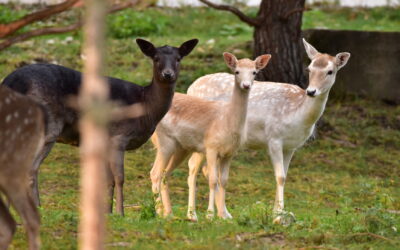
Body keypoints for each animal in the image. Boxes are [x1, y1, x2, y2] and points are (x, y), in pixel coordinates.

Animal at [1, 38, 198, 216]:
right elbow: (120, 177)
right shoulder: (119, 135)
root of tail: (11, 82)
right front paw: (120, 213)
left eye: (178, 58)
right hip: (47, 126)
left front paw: (108, 213)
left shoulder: (104, 141)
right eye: (156, 58)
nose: (168, 74)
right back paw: (38, 208)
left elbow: (108, 180)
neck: (145, 106)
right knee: (30, 169)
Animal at [151, 51, 272, 220]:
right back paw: (158, 212)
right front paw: (210, 215)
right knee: (155, 173)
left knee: (165, 174)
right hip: (164, 142)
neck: (227, 122)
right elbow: (213, 180)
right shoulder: (211, 147)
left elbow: (224, 180)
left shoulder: (230, 153)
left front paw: (223, 215)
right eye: (237, 71)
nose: (246, 85)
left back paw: (169, 213)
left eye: (254, 72)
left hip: (181, 148)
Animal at [187, 39, 350, 225]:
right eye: (309, 69)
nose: (311, 91)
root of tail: (190, 87)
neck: (297, 116)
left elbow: (285, 175)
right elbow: (280, 176)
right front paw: (278, 215)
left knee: (207, 170)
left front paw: (278, 213)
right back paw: (192, 215)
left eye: (330, 71)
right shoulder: (274, 138)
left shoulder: (291, 146)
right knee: (193, 166)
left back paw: (224, 213)